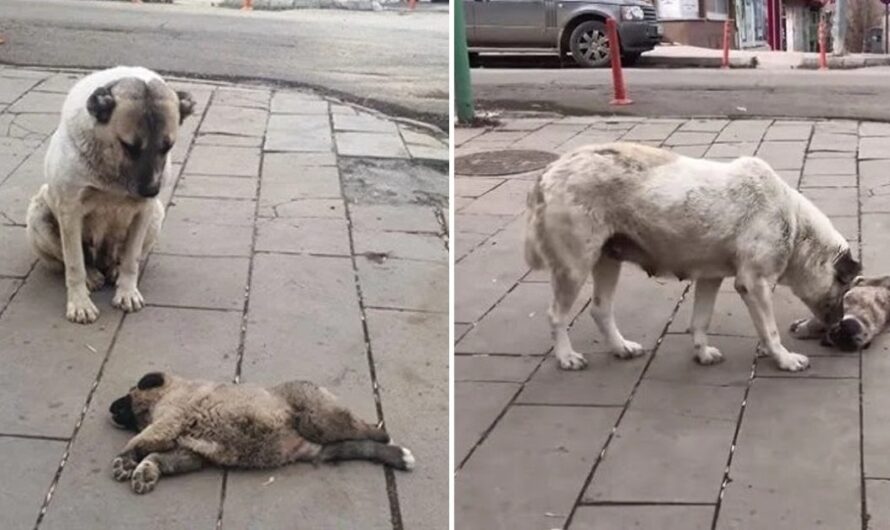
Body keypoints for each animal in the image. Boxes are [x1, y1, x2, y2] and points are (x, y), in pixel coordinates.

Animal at [26, 66, 194, 322]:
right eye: (129, 146)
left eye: (167, 147)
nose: (151, 190)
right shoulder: (70, 211)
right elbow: (74, 263)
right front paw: (79, 303)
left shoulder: (144, 212)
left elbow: (132, 259)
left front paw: (127, 292)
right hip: (39, 213)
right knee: (73, 259)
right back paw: (91, 275)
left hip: (156, 215)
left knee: (121, 255)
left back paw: (113, 268)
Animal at [108, 372, 412, 490]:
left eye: (129, 393)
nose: (110, 407)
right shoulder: (190, 453)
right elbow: (157, 456)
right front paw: (146, 471)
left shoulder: (169, 419)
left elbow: (139, 441)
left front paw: (125, 461)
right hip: (324, 446)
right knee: (358, 445)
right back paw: (398, 456)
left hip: (319, 422)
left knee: (366, 430)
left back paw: (385, 436)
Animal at [524, 140, 856, 372]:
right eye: (843, 289)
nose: (840, 325)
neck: (795, 224)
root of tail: (549, 171)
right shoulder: (754, 284)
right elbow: (771, 330)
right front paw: (784, 359)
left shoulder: (710, 278)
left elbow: (700, 321)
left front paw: (702, 352)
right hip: (575, 266)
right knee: (556, 315)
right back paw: (566, 357)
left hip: (608, 260)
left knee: (600, 309)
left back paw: (621, 348)